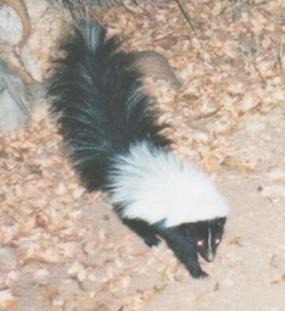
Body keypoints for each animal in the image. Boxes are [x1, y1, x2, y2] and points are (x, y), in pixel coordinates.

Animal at [48, 18, 229, 280]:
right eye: (198, 242)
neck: (191, 197)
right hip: (129, 201)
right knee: (129, 219)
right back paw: (150, 238)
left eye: (215, 239)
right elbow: (180, 246)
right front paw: (197, 271)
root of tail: (124, 155)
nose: (210, 257)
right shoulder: (171, 223)